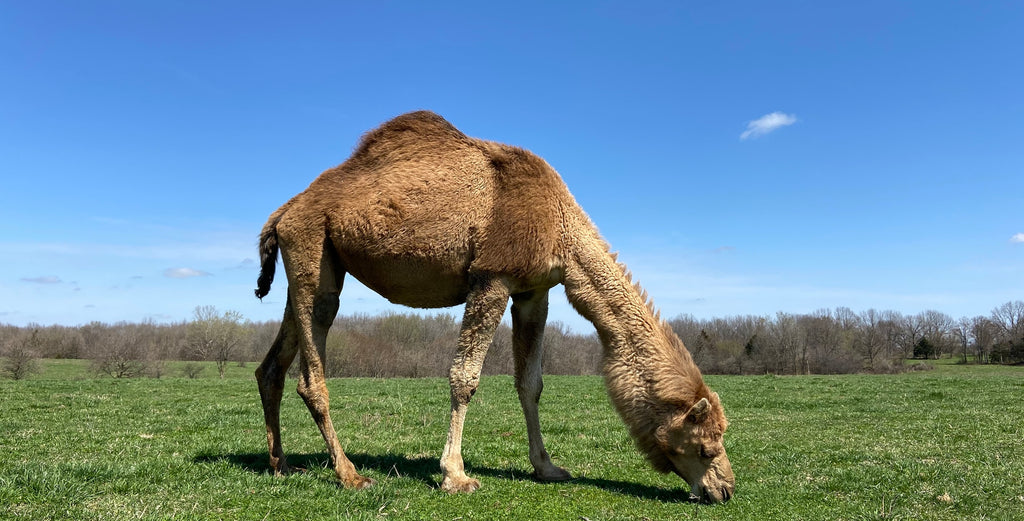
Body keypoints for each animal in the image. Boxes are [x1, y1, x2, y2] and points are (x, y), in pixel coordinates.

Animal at [256, 111, 737, 501]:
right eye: (705, 446)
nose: (726, 489)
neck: (561, 228)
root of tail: (283, 212)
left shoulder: (533, 291)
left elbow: (531, 383)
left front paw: (546, 467)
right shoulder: (492, 276)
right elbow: (464, 378)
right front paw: (455, 475)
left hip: (313, 265)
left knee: (271, 367)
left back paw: (282, 465)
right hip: (313, 250)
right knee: (311, 373)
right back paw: (349, 474)